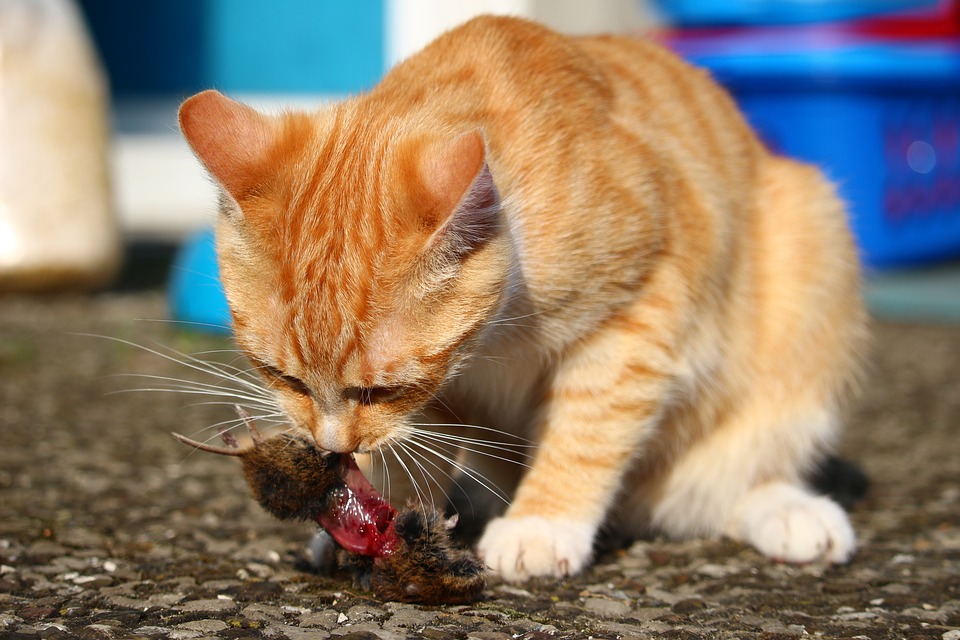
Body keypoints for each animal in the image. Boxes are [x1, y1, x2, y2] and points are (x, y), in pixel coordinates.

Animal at [176, 15, 868, 584]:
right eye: (283, 377)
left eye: (378, 390)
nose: (329, 448)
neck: (498, 334)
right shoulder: (441, 393)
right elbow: (407, 456)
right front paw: (373, 518)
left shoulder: (639, 312)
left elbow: (587, 430)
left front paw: (543, 523)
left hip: (813, 250)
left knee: (730, 482)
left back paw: (793, 514)